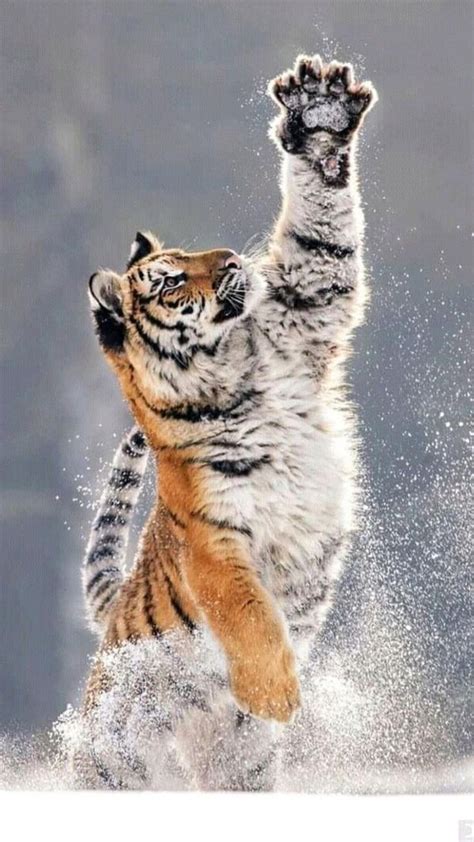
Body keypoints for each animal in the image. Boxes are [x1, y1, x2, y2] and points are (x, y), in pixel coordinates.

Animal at [78, 54, 377, 790]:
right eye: (169, 279)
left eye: (190, 254)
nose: (233, 260)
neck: (234, 373)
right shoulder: (217, 542)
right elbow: (248, 614)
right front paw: (276, 695)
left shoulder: (307, 304)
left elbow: (320, 239)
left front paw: (320, 113)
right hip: (115, 759)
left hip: (238, 770)